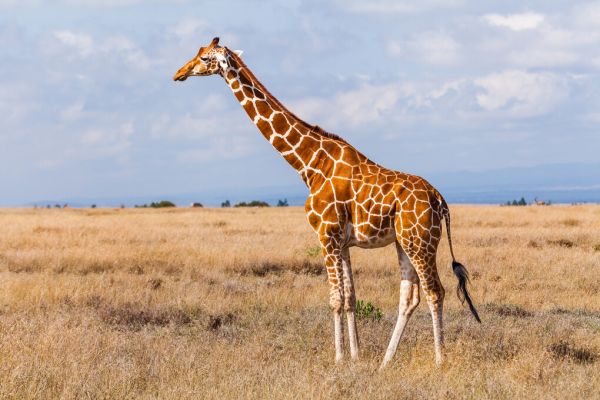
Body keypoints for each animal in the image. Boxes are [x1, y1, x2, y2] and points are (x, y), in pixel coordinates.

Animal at [175, 38, 482, 368]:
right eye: (197, 53)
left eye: (204, 58)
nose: (179, 73)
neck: (308, 164)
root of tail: (441, 201)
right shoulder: (343, 242)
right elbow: (350, 298)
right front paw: (356, 356)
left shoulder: (326, 235)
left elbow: (335, 299)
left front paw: (338, 358)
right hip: (404, 242)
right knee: (410, 297)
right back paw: (385, 362)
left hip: (421, 242)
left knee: (435, 291)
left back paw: (439, 359)